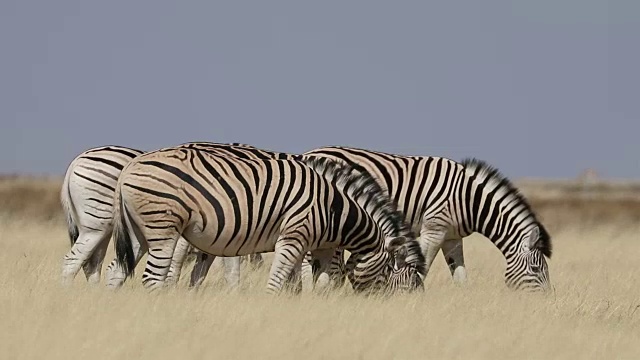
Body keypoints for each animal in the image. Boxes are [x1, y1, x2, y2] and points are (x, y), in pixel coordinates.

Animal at [60, 142, 268, 286]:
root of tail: (76, 162)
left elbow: (198, 273)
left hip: (102, 227)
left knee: (92, 264)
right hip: (97, 223)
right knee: (73, 261)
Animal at [104, 147, 424, 296]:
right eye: (392, 271)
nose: (381, 304)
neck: (336, 210)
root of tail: (129, 167)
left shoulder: (317, 246)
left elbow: (315, 284)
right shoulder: (295, 236)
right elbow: (278, 280)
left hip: (136, 231)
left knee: (116, 271)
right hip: (163, 227)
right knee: (151, 278)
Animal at [302, 146, 552, 292]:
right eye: (536, 269)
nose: (547, 301)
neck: (469, 199)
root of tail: (310, 153)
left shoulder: (452, 237)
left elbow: (460, 276)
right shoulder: (434, 228)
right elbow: (422, 266)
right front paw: (414, 293)